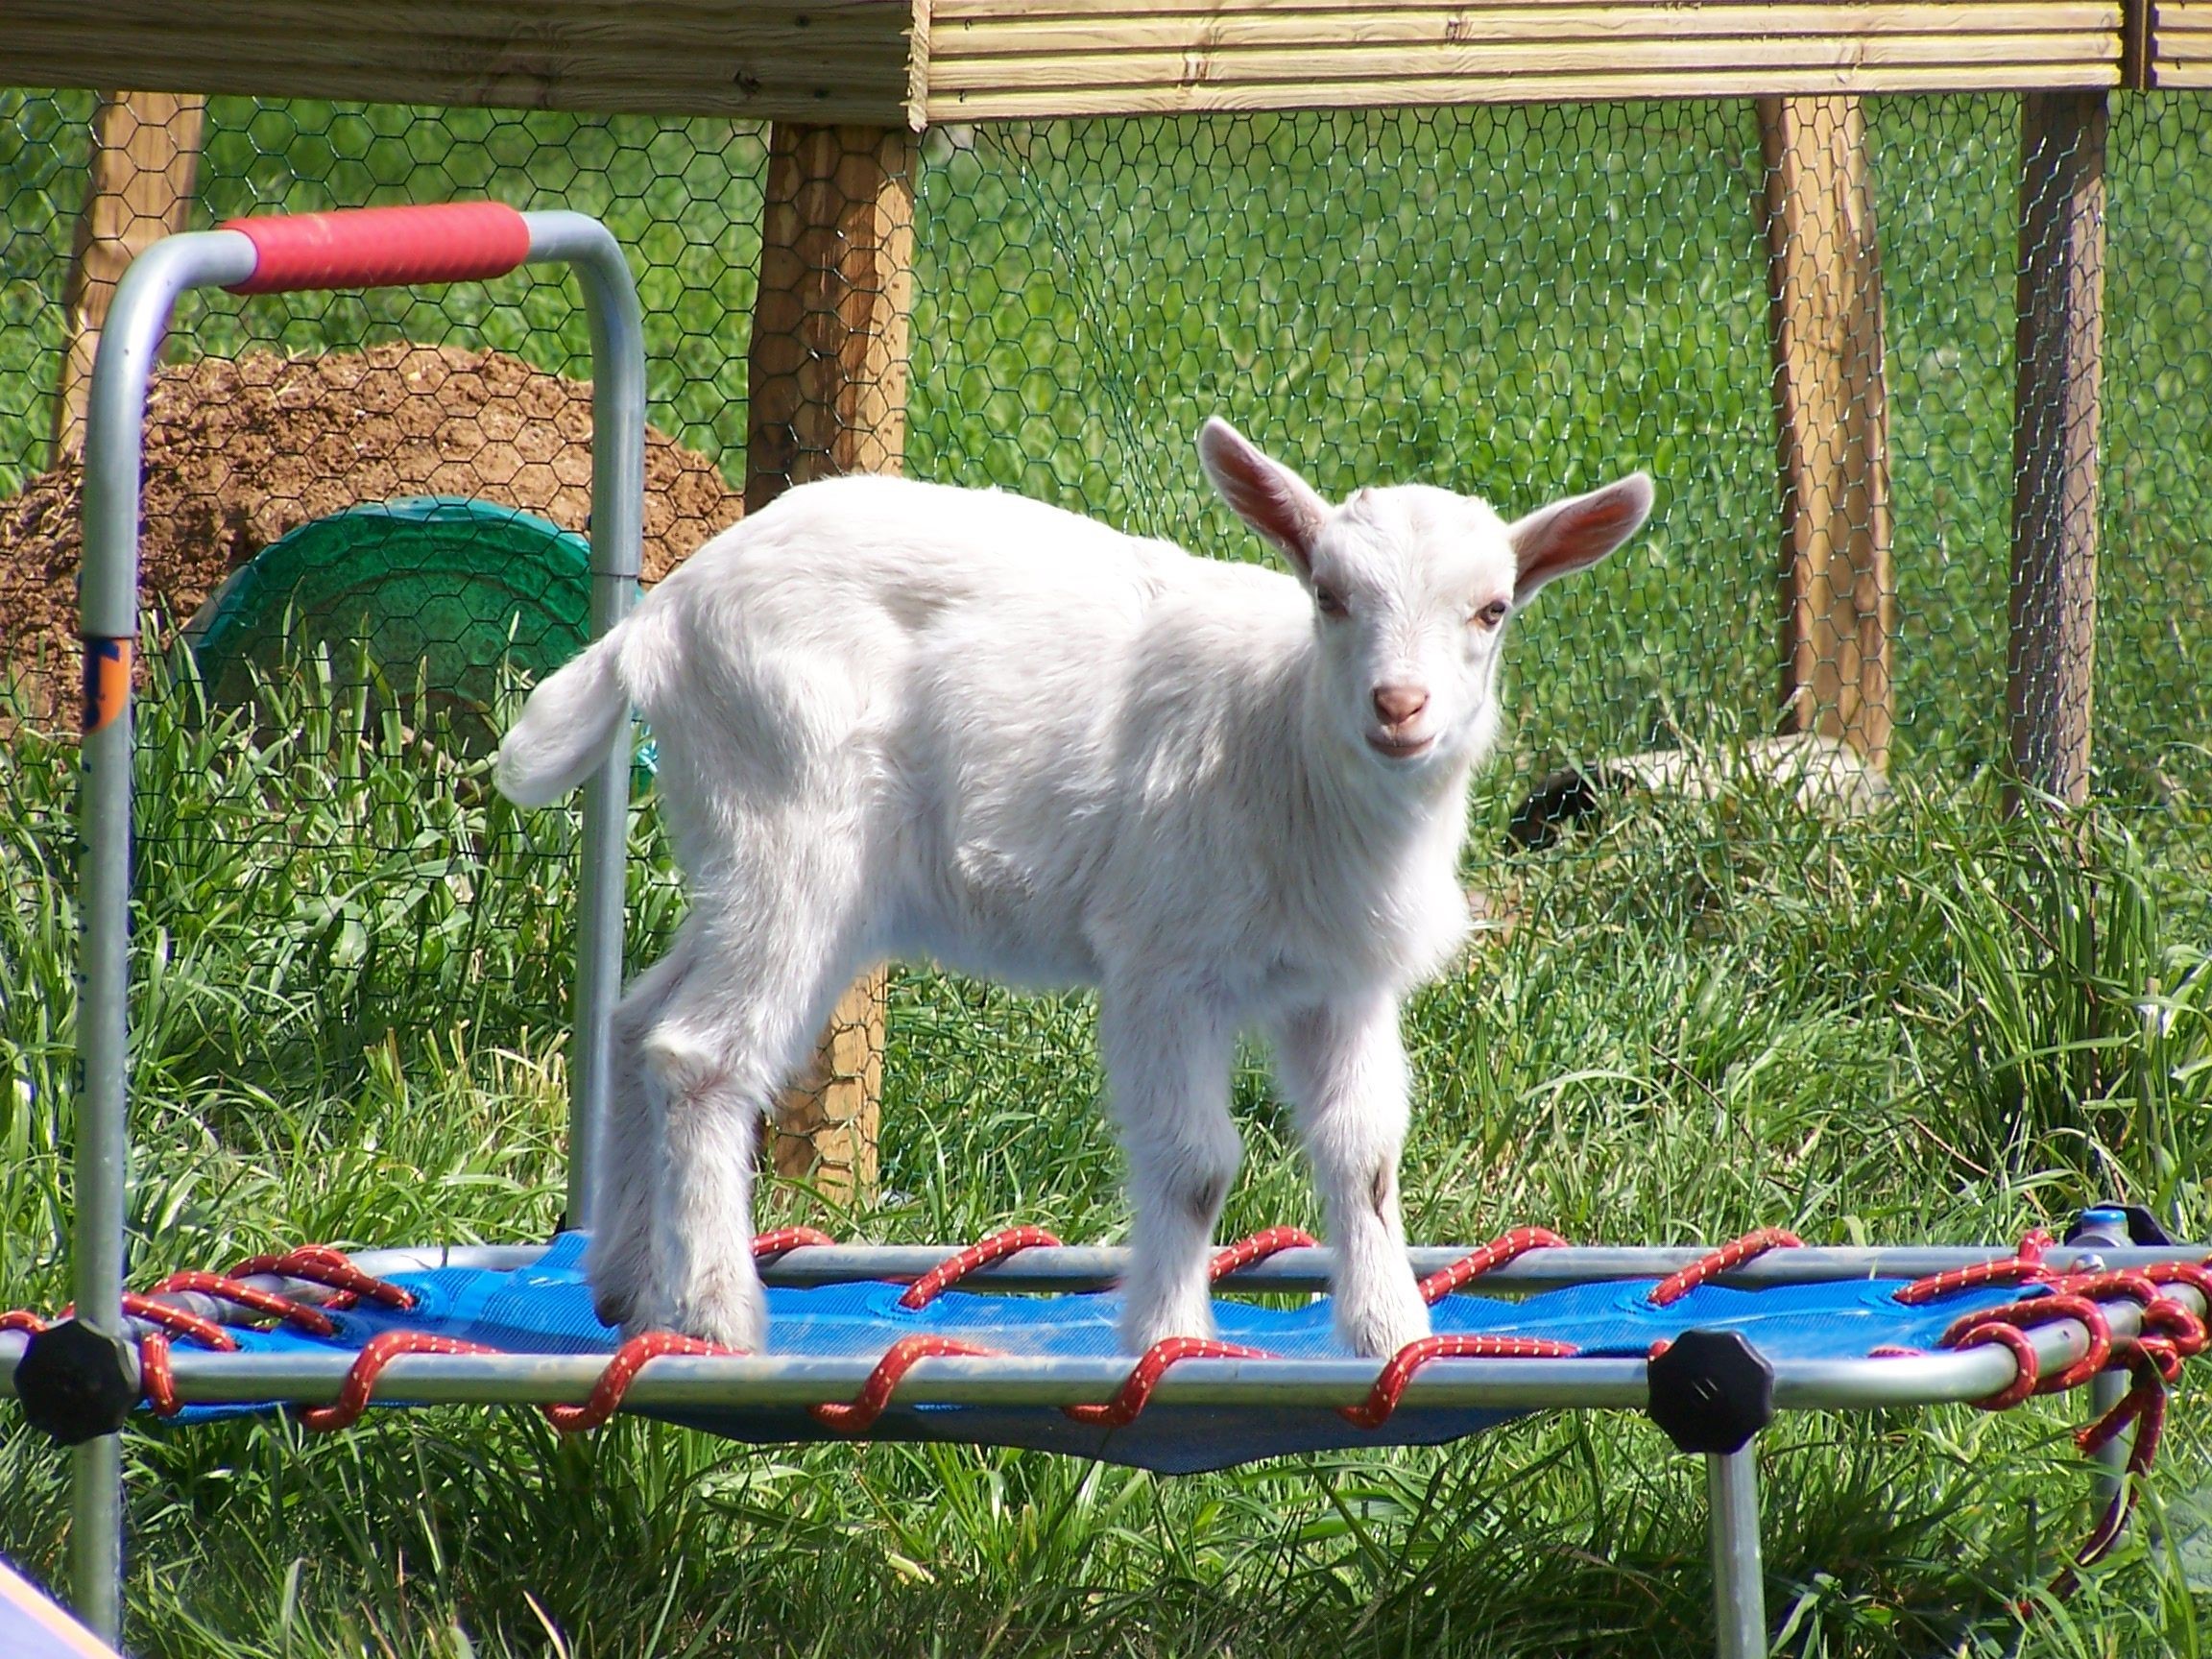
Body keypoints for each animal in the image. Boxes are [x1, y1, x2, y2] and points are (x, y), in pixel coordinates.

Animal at [496, 420, 1652, 1357]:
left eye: (1493, 610)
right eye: (1328, 596)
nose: (1399, 705)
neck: (1281, 740)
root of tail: (663, 617)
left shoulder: (1340, 984)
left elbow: (1364, 1155)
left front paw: (1389, 1335)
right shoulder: (1164, 963)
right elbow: (1195, 1163)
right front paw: (1173, 1339)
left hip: (746, 852)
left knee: (641, 1017)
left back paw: (624, 1289)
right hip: (789, 819)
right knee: (699, 1053)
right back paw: (718, 1316)